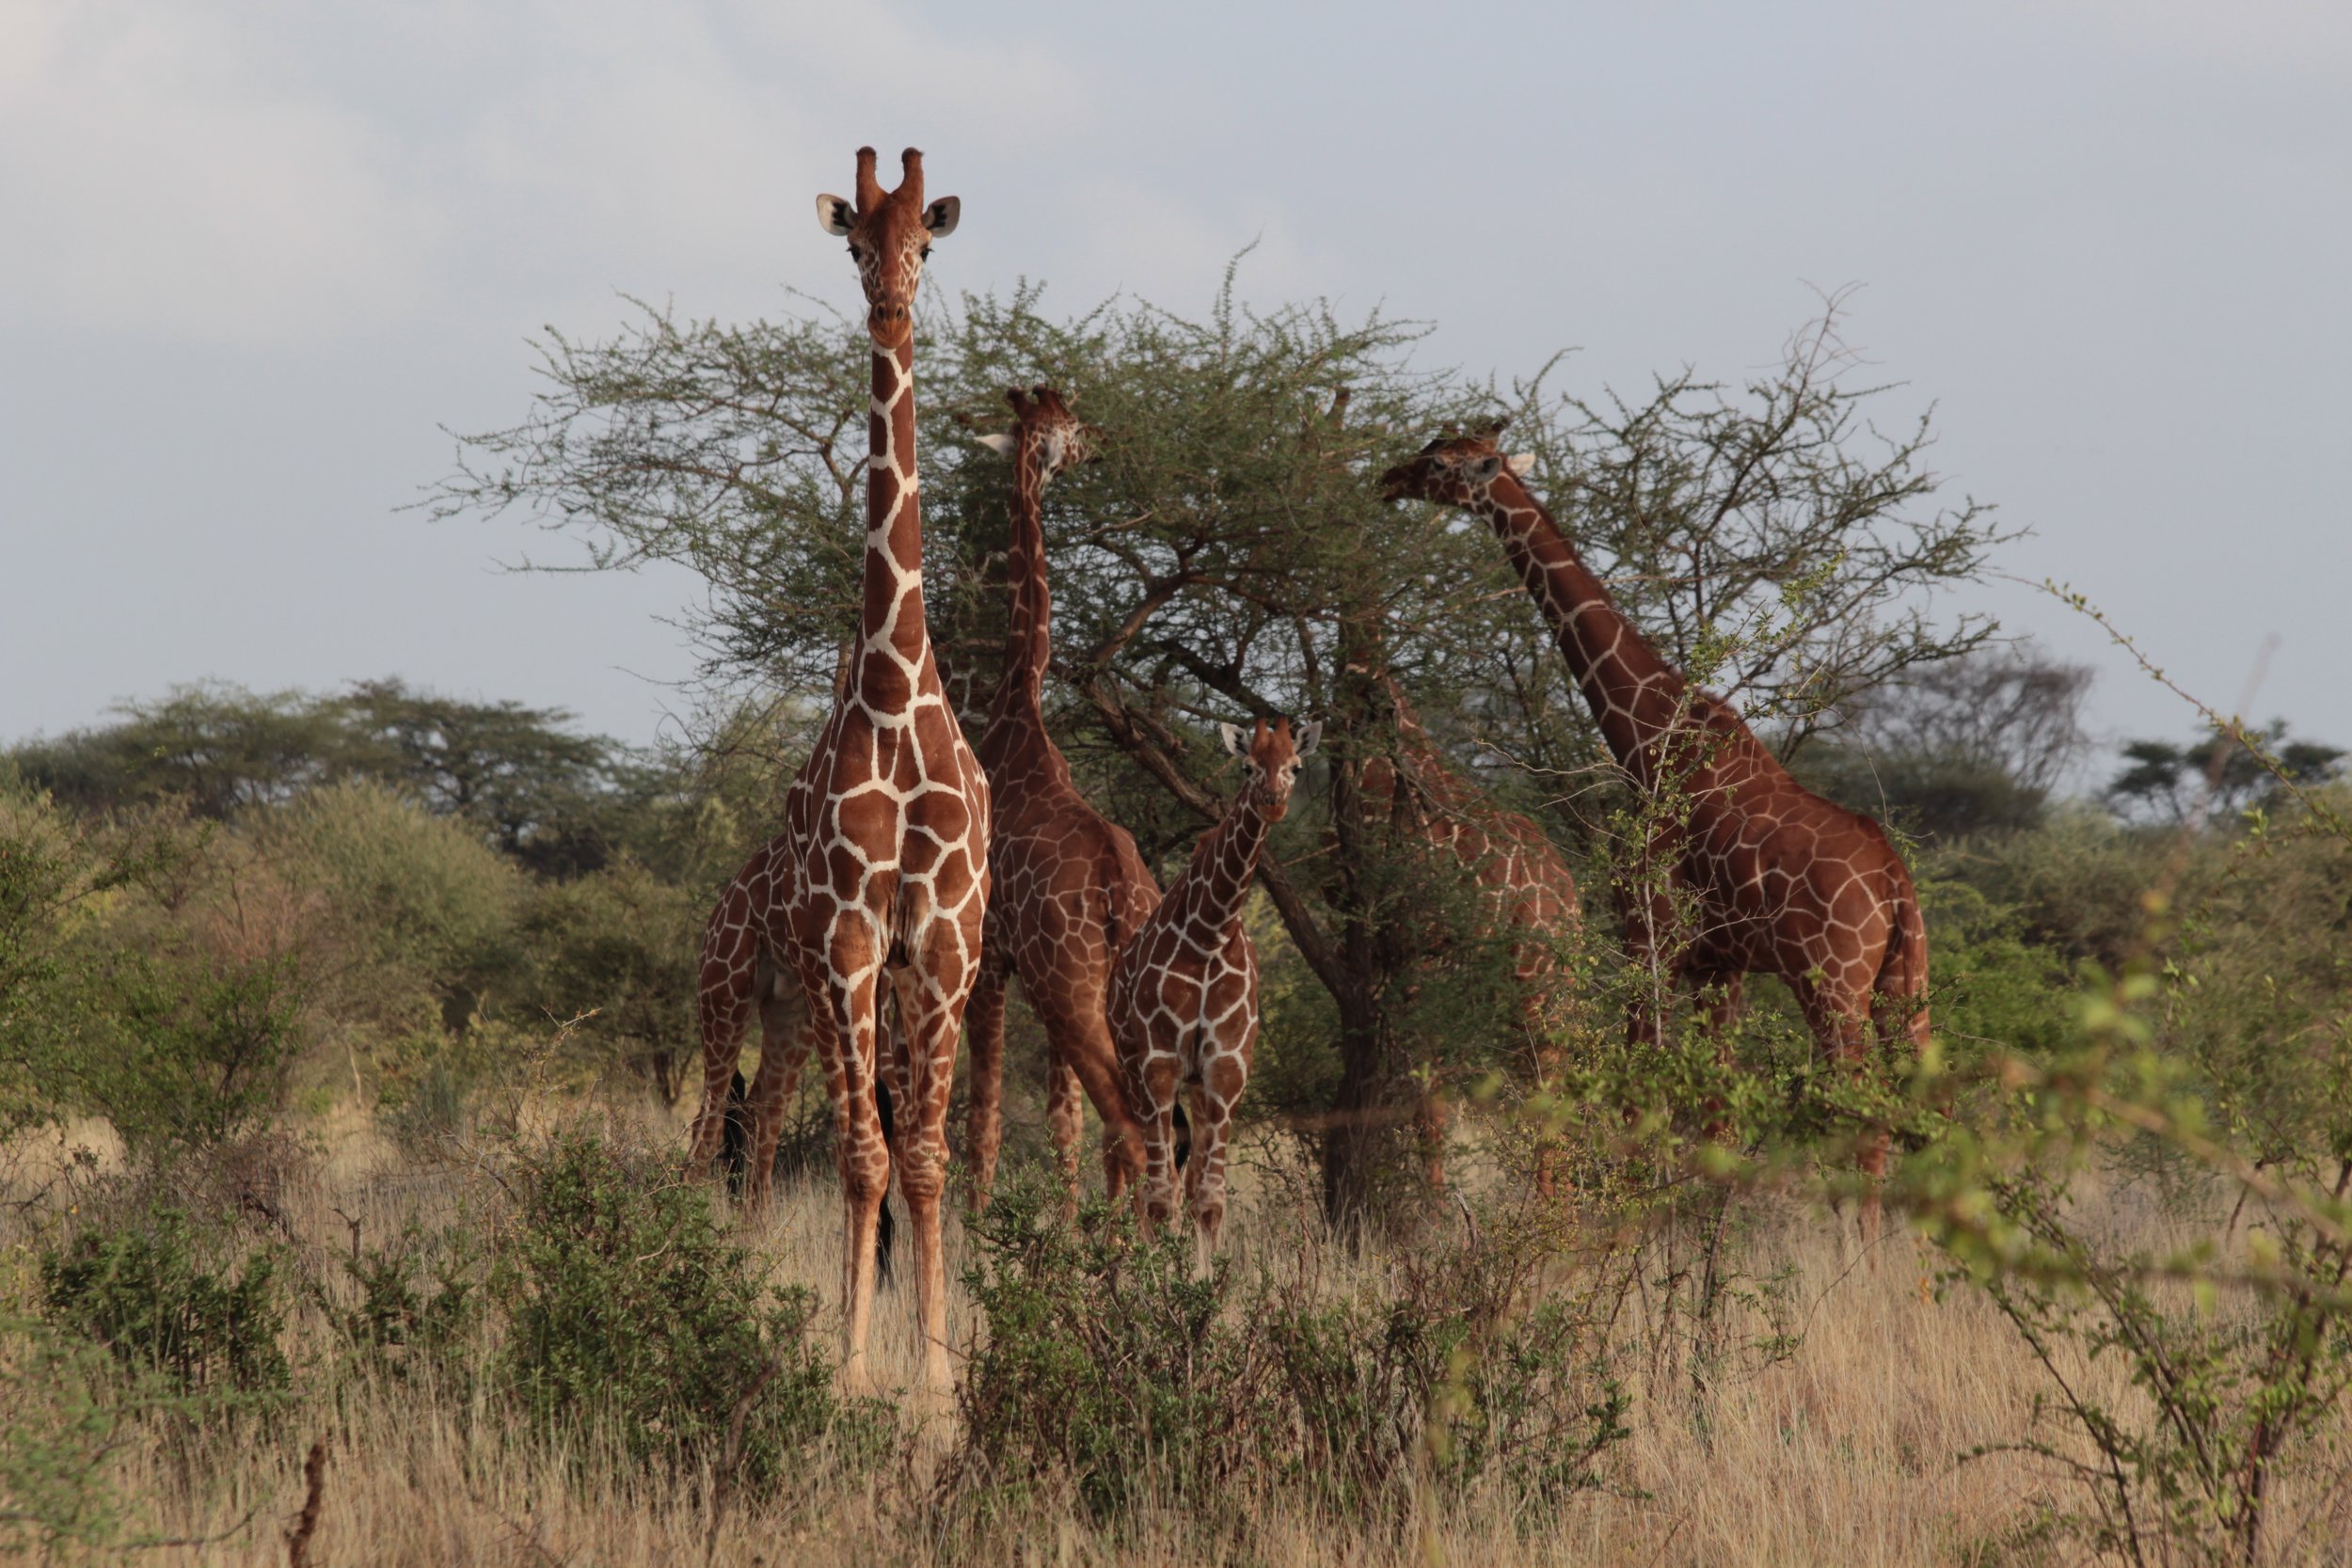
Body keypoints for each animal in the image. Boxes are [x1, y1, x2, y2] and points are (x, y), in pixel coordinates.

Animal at [1114, 715, 1319, 1268]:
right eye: (1248, 766)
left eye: (1296, 765)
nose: (1273, 799)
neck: (1209, 932)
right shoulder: (1158, 1063)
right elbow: (1160, 1197)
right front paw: (1161, 1282)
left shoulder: (1226, 1069)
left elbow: (1208, 1199)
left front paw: (1204, 1280)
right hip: (1133, 1072)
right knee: (1150, 1181)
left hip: (1199, 1090)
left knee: (1187, 1182)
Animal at [1380, 435, 1928, 1208]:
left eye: (1438, 462)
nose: (1387, 477)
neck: (1644, 735)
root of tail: (1893, 880)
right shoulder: (1719, 963)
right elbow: (1714, 1117)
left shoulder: (1648, 938)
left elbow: (1638, 1099)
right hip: (1905, 983)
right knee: (1931, 1115)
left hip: (1832, 979)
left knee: (1867, 1112)